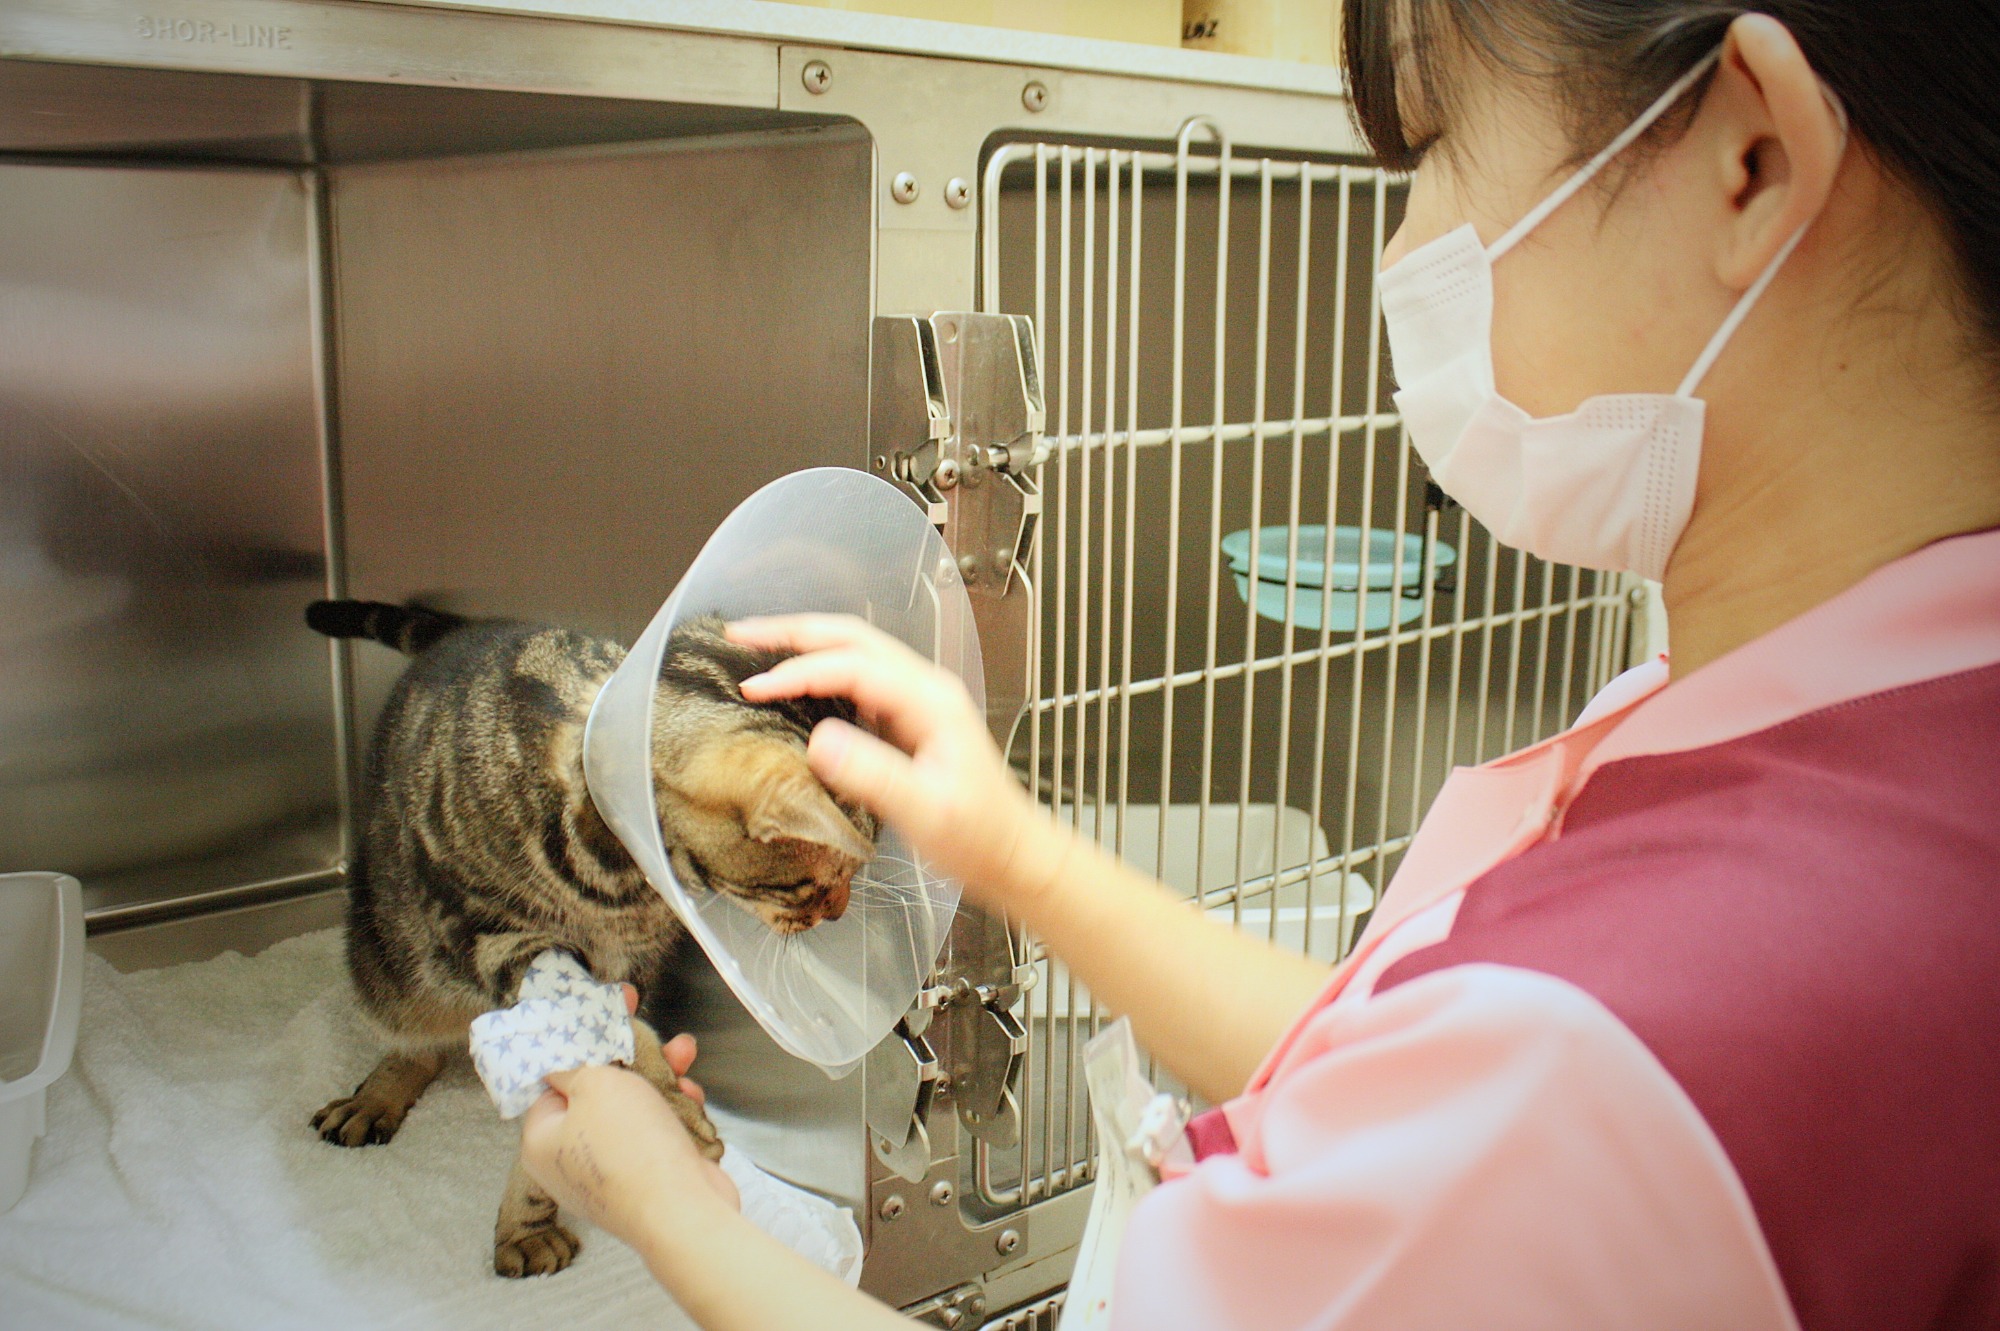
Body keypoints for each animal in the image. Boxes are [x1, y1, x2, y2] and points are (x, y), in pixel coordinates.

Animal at [306, 595, 876, 1271]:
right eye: (818, 882)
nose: (839, 911)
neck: (626, 875)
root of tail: (467, 628)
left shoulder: (631, 960)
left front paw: (529, 1218)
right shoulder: (487, 935)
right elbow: (599, 1027)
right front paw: (667, 1107)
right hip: (391, 961)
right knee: (417, 1034)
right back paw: (375, 1095)